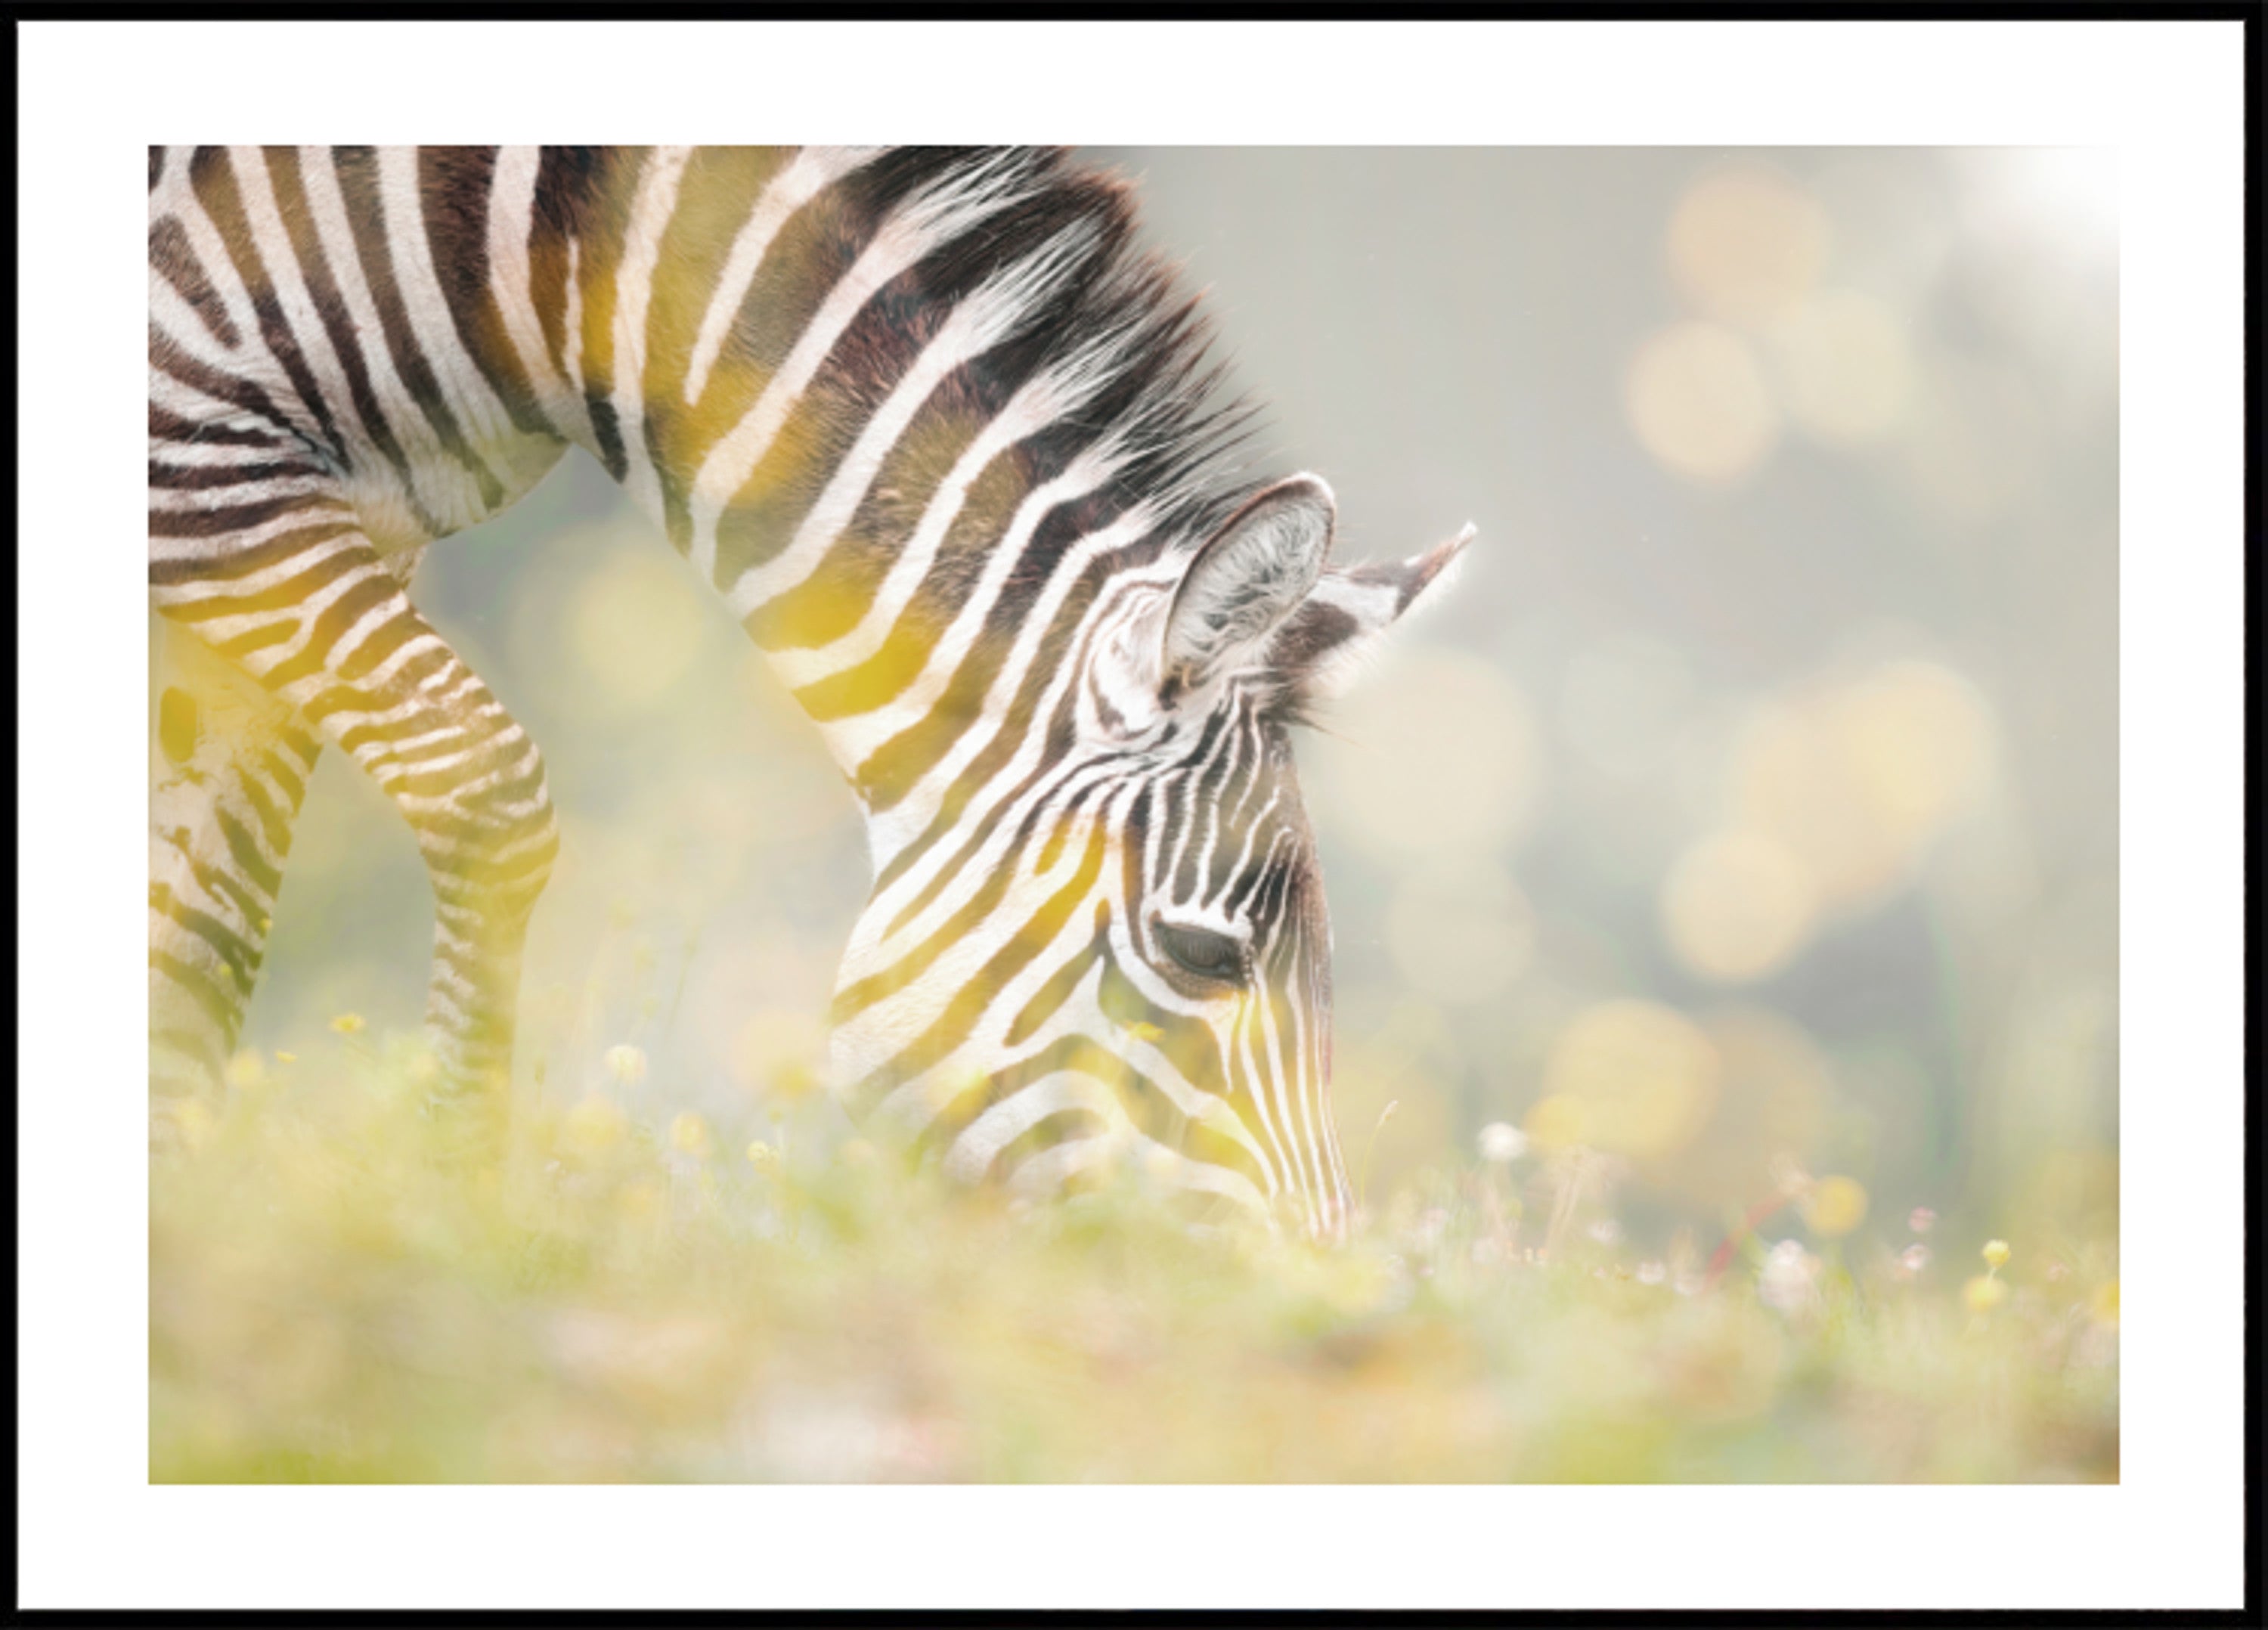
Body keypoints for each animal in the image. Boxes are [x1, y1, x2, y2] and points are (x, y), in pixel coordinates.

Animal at [148, 147, 1469, 1240]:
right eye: (1205, 958)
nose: (1311, 1292)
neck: (547, 262)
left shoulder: (336, 521)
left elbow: (204, 922)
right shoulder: (202, 467)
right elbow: (478, 792)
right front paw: (444, 1219)